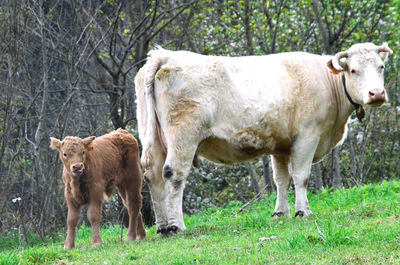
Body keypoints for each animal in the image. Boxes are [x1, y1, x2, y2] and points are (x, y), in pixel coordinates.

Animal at [136, 41, 392, 235]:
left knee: (152, 175)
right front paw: (303, 211)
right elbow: (301, 177)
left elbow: (281, 179)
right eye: (354, 70)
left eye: (381, 67)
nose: (377, 94)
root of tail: (166, 55)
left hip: (153, 139)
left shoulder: (281, 145)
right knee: (173, 175)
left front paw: (280, 213)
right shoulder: (307, 137)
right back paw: (176, 226)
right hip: (183, 137)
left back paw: (162, 227)